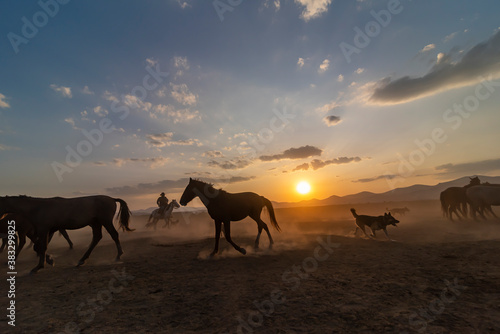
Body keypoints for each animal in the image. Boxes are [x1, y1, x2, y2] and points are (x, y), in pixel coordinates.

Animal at [0, 194, 134, 272]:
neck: (38, 208)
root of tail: (112, 199)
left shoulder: (44, 229)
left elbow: (41, 247)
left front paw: (39, 266)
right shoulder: (49, 230)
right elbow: (38, 247)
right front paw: (49, 261)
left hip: (105, 221)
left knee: (114, 235)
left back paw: (118, 256)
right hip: (96, 223)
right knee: (97, 237)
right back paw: (81, 260)